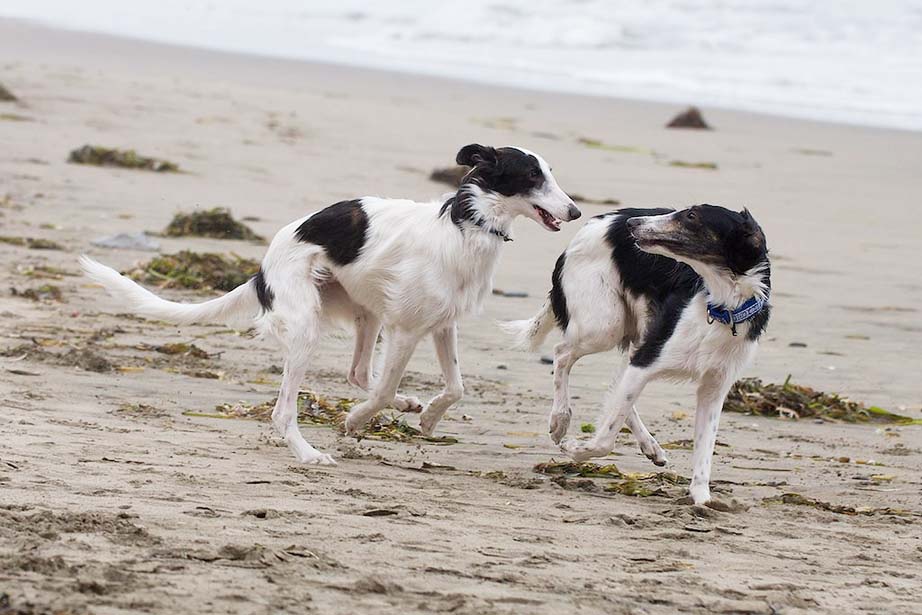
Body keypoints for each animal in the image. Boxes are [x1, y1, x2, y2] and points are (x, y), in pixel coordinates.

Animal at [82, 147, 580, 464]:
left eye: (551, 173)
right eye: (532, 175)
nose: (575, 212)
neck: (465, 225)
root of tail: (264, 269)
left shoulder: (442, 324)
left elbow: (455, 388)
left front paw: (427, 417)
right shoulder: (406, 329)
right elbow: (382, 391)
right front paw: (355, 421)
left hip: (367, 312)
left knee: (357, 372)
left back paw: (406, 405)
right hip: (308, 327)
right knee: (286, 410)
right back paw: (308, 454)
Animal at [506, 207, 764, 506]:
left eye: (691, 216)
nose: (633, 224)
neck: (722, 310)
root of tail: (602, 220)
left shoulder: (713, 388)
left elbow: (704, 451)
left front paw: (702, 501)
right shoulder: (648, 359)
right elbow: (605, 440)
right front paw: (573, 449)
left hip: (633, 335)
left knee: (616, 386)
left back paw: (650, 446)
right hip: (605, 326)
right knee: (562, 354)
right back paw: (560, 419)